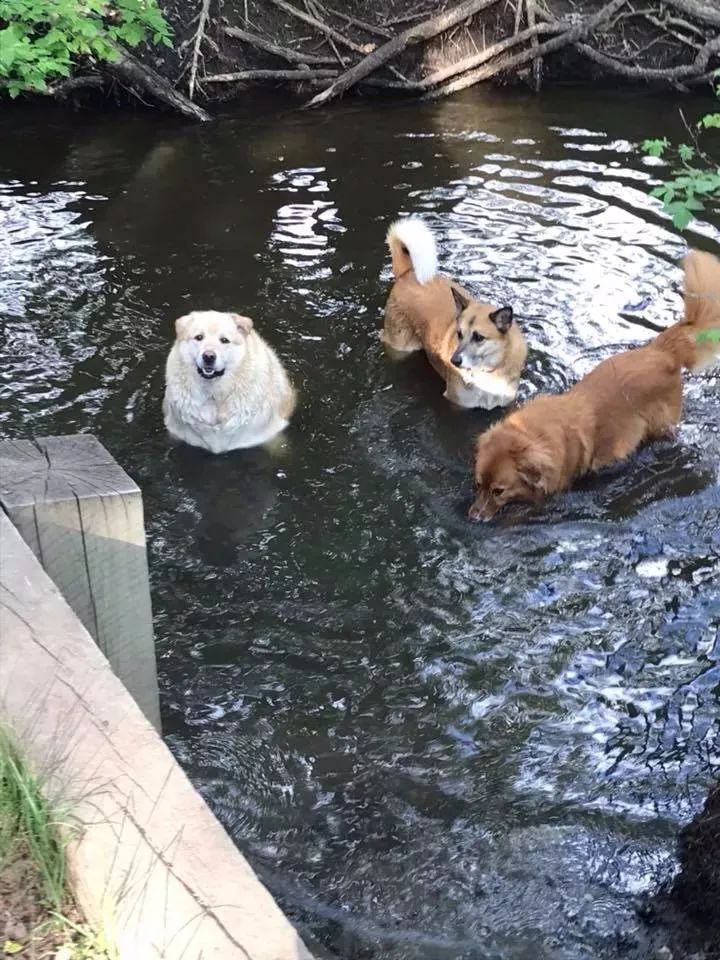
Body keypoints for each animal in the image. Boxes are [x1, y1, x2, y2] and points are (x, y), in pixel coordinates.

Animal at [382, 218, 528, 408]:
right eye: (459, 334)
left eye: (479, 337)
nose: (454, 361)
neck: (488, 372)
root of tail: (408, 273)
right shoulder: (456, 404)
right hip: (399, 345)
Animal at [470, 248, 720, 516]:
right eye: (479, 484)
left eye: (499, 491)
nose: (473, 517)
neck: (533, 434)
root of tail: (661, 350)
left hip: (660, 425)